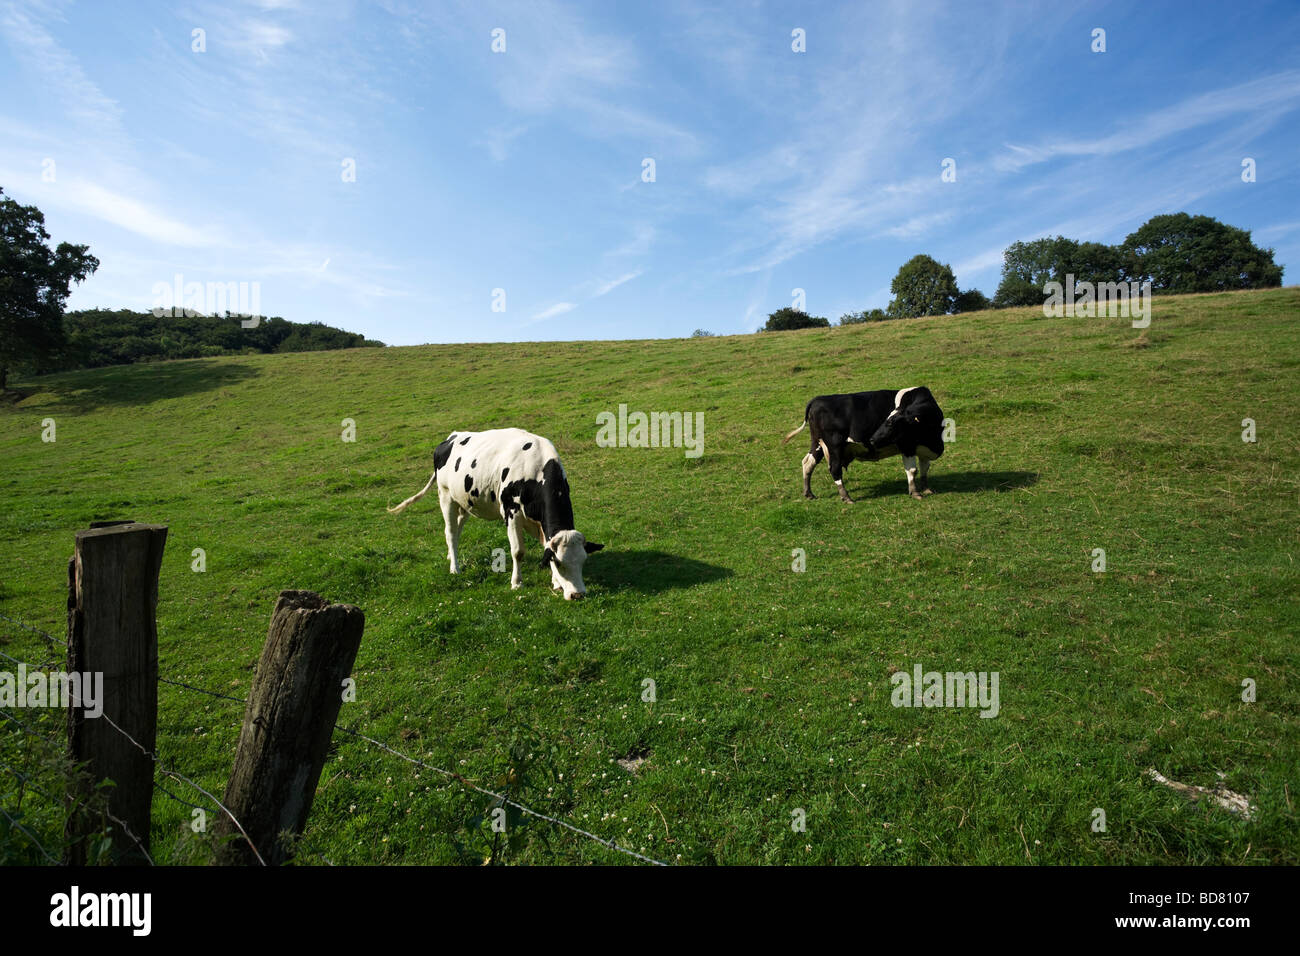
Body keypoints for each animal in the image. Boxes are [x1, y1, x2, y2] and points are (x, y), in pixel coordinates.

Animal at [387, 428, 603, 600]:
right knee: (450, 532)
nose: (578, 595)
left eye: (583, 561)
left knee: (456, 531)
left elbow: (546, 545)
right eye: (560, 563)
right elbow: (518, 551)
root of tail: (451, 437)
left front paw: (556, 582)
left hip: (464, 502)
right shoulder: (511, 510)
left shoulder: (539, 520)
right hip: (445, 496)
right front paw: (517, 583)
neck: (536, 469)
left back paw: (450, 555)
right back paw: (455, 568)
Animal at [782, 386, 945, 503]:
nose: (872, 439)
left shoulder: (922, 447)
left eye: (891, 424)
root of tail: (817, 399)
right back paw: (846, 497)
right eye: (886, 421)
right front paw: (915, 493)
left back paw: (809, 493)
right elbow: (912, 470)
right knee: (834, 469)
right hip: (834, 445)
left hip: (818, 443)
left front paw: (926, 489)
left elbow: (924, 468)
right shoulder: (907, 446)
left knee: (808, 463)